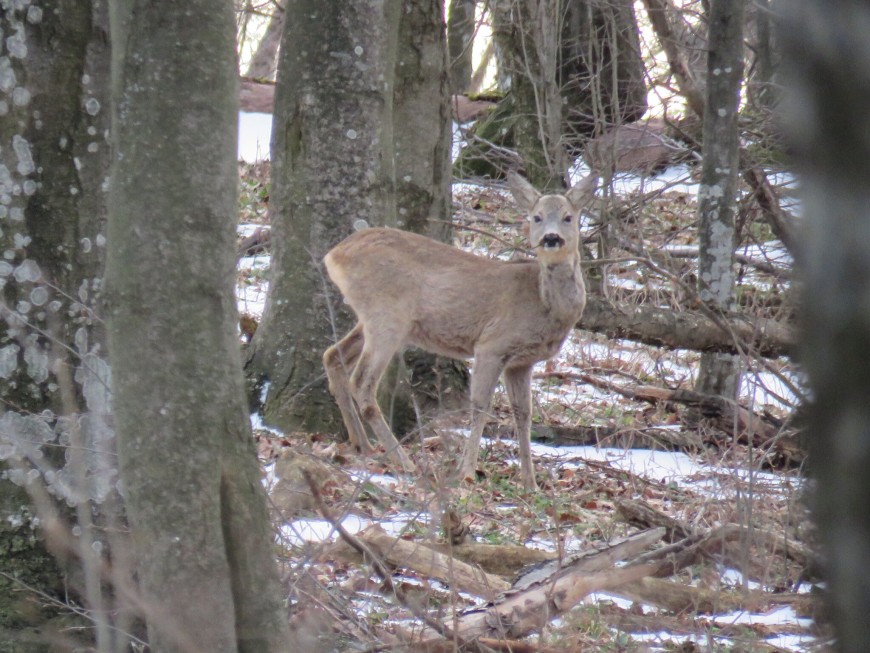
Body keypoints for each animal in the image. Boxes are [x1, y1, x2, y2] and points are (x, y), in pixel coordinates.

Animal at [322, 171, 600, 486]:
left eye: (568, 217)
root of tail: (334, 255)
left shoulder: (521, 362)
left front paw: (530, 482)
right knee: (362, 382)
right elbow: (480, 406)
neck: (543, 303)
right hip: (387, 316)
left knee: (332, 356)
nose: (551, 238)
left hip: (372, 318)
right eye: (536, 217)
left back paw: (363, 445)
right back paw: (404, 461)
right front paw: (467, 472)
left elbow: (523, 414)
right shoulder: (492, 344)